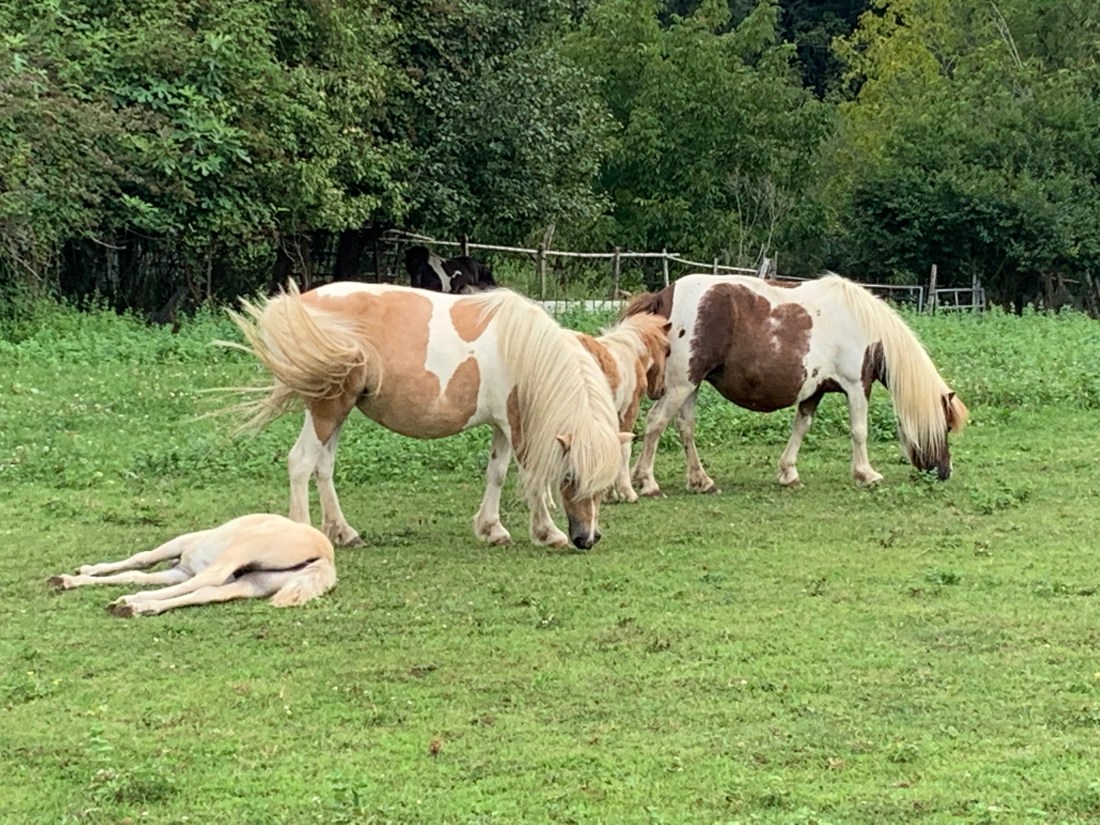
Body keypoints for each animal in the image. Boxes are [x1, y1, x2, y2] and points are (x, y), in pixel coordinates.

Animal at [48, 514, 336, 617]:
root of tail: (325, 557)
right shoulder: (177, 572)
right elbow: (135, 573)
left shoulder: (179, 546)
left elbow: (140, 560)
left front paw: (74, 576)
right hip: (256, 583)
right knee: (206, 592)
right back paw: (140, 608)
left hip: (239, 553)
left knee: (206, 580)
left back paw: (131, 602)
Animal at [228, 281, 628, 551]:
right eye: (571, 477)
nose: (587, 538)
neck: (524, 350)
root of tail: (302, 306)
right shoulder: (517, 424)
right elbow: (531, 476)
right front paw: (547, 533)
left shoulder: (502, 424)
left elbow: (497, 473)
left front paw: (492, 529)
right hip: (328, 408)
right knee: (300, 462)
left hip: (337, 410)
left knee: (322, 467)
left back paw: (344, 532)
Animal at [574, 313, 671, 502]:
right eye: (668, 350)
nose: (661, 390)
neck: (631, 354)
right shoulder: (629, 410)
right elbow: (625, 447)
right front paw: (628, 493)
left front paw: (609, 494)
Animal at [624, 273, 969, 496]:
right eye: (946, 426)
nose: (946, 472)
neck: (867, 328)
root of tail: (664, 297)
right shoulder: (857, 386)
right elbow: (859, 431)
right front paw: (866, 474)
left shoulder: (814, 391)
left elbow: (801, 427)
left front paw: (788, 473)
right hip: (680, 385)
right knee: (655, 423)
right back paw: (647, 481)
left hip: (690, 385)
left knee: (685, 428)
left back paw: (701, 480)